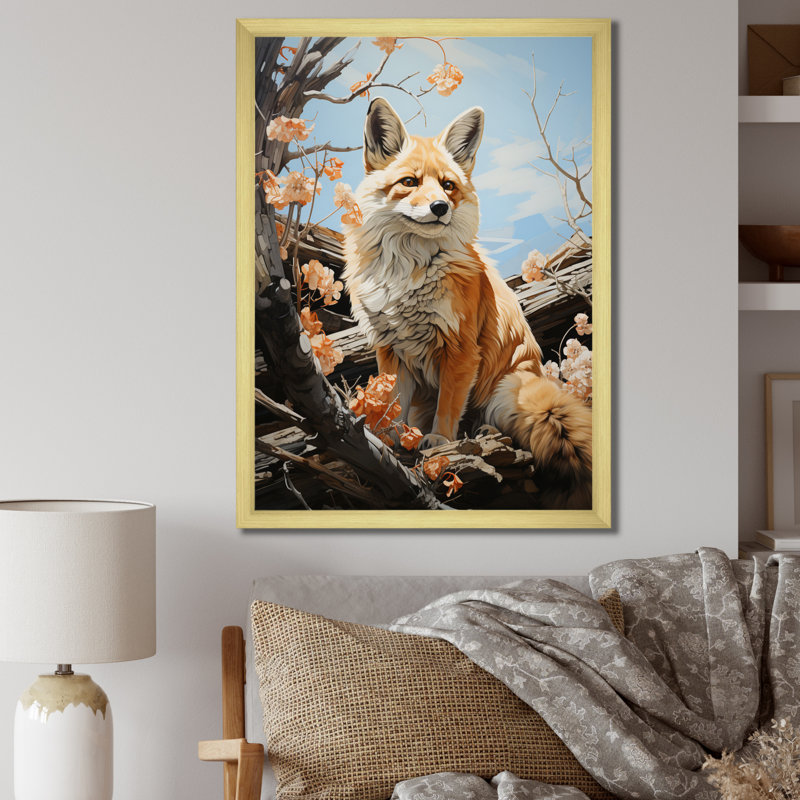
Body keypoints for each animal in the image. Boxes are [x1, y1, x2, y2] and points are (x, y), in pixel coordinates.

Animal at [342, 97, 592, 509]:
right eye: (409, 182)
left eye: (448, 185)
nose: (440, 207)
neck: (410, 272)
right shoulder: (391, 350)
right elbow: (392, 405)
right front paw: (389, 442)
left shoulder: (460, 350)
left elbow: (448, 407)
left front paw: (440, 444)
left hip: (506, 393)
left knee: (496, 425)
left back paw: (485, 433)